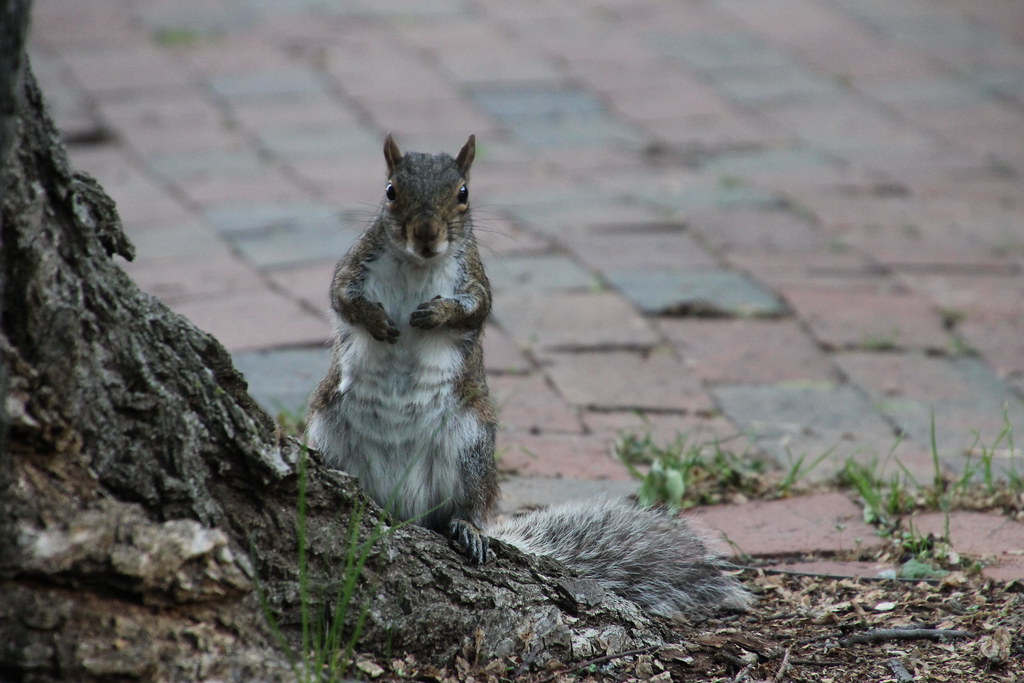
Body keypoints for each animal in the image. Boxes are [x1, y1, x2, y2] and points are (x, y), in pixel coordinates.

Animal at [305, 134, 750, 618]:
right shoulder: (356, 264)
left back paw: (468, 530)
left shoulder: (474, 278)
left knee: (466, 507)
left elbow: (475, 309)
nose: (426, 235)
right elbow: (341, 296)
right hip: (326, 431)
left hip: (470, 443)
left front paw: (435, 314)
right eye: (390, 191)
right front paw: (377, 320)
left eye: (463, 194)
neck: (417, 265)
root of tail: (401, 506)